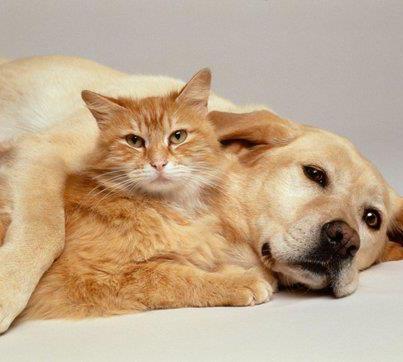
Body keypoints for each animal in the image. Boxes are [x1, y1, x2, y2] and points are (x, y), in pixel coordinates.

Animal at [0, 55, 402, 330]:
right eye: (315, 173)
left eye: (372, 219)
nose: (344, 239)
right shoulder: (41, 151)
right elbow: (45, 232)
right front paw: (8, 292)